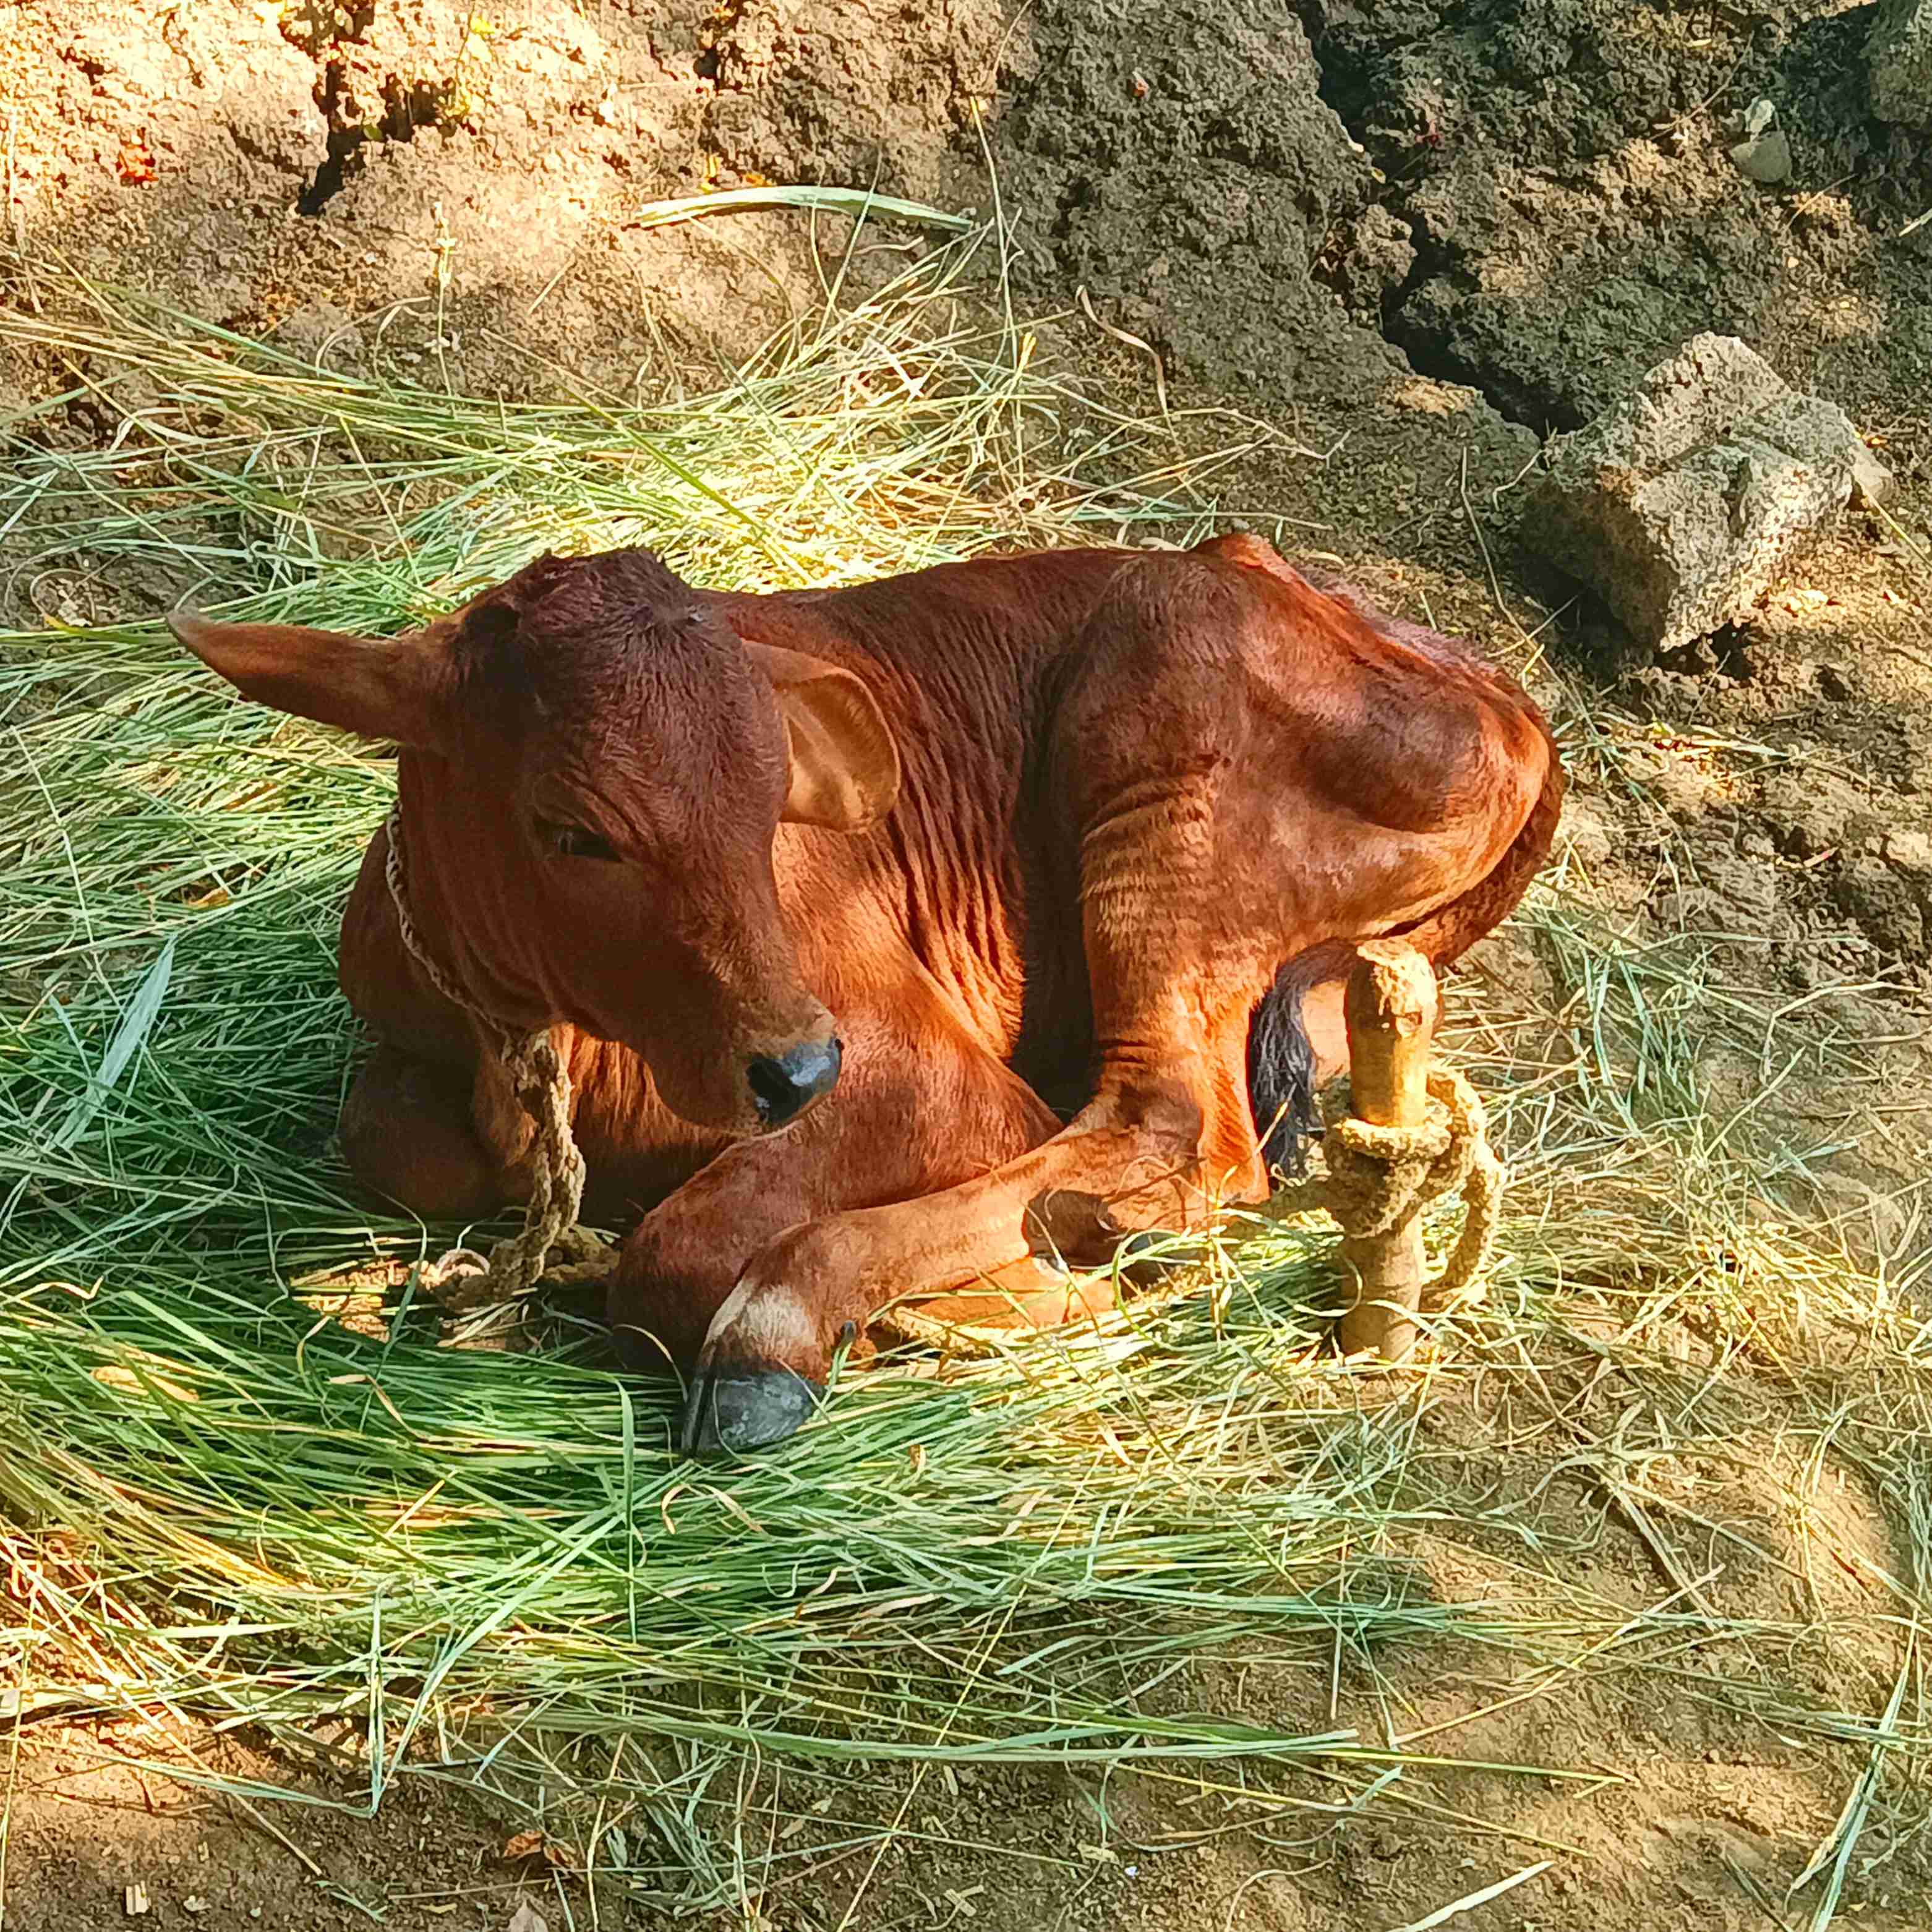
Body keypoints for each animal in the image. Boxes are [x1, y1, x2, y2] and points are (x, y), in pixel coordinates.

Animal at [169, 532, 1563, 1455]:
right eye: (571, 830)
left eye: (766, 797)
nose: (794, 1066)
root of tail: (1496, 690)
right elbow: (395, 1142)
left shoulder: (926, 1074)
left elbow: (675, 1250)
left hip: (1164, 759)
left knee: (1174, 1130)